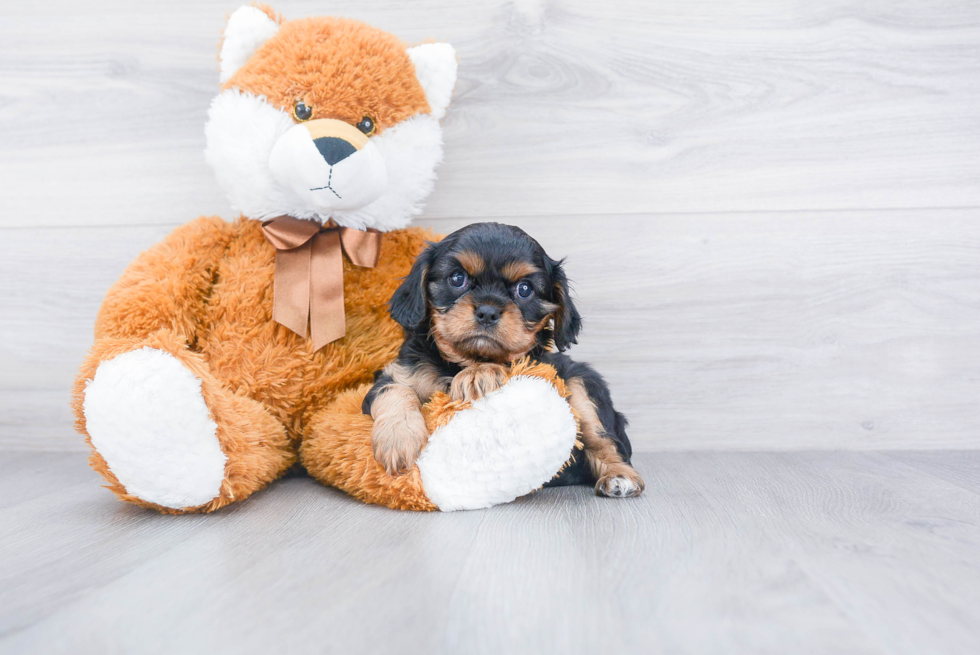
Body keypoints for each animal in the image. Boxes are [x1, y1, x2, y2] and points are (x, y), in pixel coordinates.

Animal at [360, 223, 644, 500]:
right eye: (457, 278)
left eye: (525, 289)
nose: (488, 311)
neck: (460, 362)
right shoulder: (394, 375)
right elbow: (395, 391)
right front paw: (399, 439)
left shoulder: (535, 366)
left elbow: (510, 360)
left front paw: (479, 374)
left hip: (582, 384)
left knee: (605, 440)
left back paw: (620, 478)